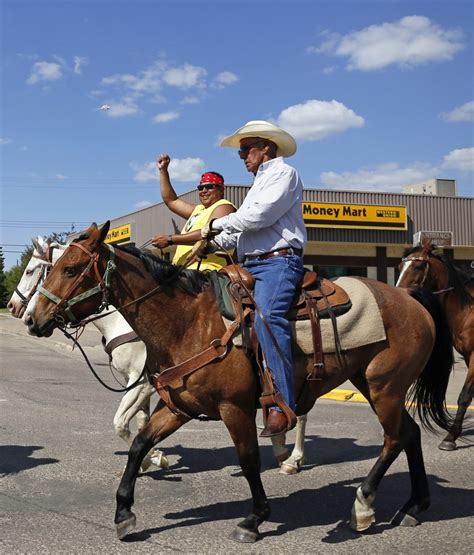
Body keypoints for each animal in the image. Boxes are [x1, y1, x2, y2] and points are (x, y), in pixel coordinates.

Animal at [9, 237, 310, 476]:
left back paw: (292, 458)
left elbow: (120, 423)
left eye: (34, 270)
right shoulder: (142, 383)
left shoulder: (141, 382)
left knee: (299, 411)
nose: (20, 312)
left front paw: (154, 458)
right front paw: (147, 459)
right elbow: (141, 421)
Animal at [398, 240, 472, 452]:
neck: (467, 309)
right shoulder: (467, 356)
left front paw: (450, 437)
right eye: (399, 266)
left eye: (418, 266)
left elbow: (464, 396)